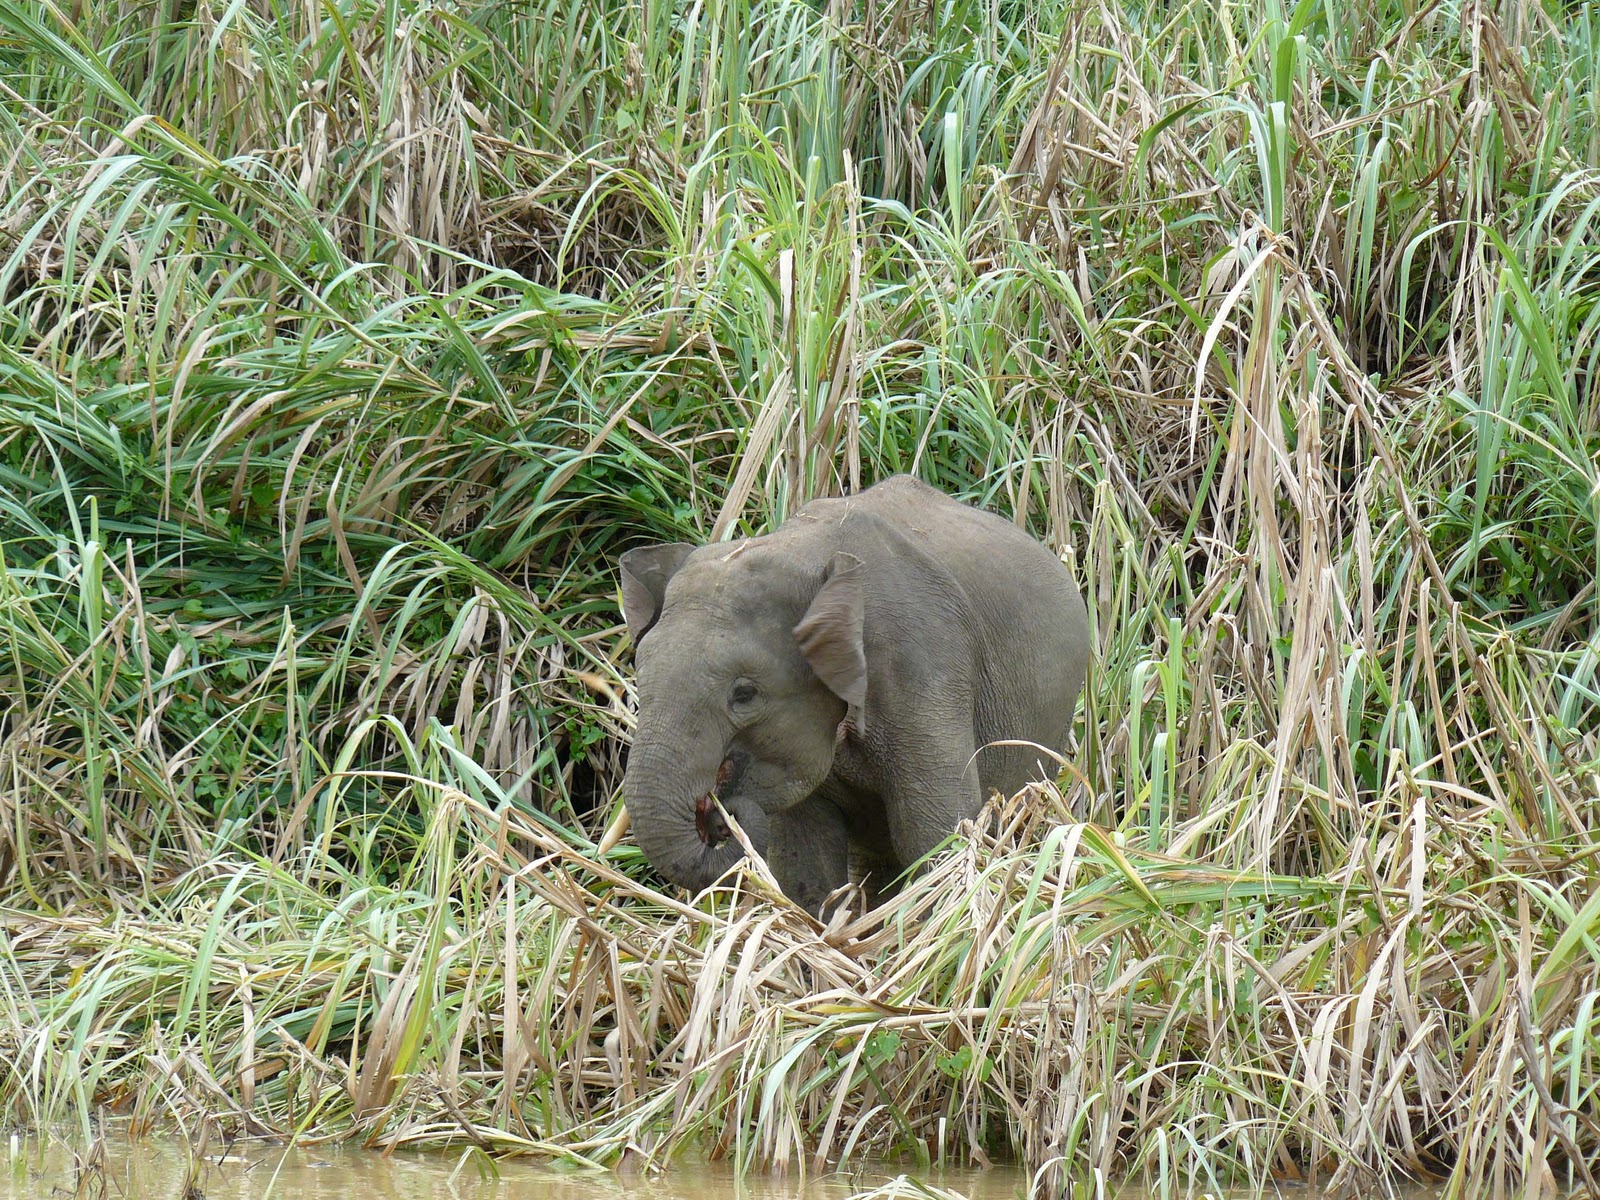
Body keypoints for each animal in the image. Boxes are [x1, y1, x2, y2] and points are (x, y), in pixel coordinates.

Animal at [617, 474, 1091, 917]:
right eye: (640, 676)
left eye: (744, 694)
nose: (720, 816)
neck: (803, 554)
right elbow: (804, 854)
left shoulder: (922, 661)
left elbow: (934, 830)